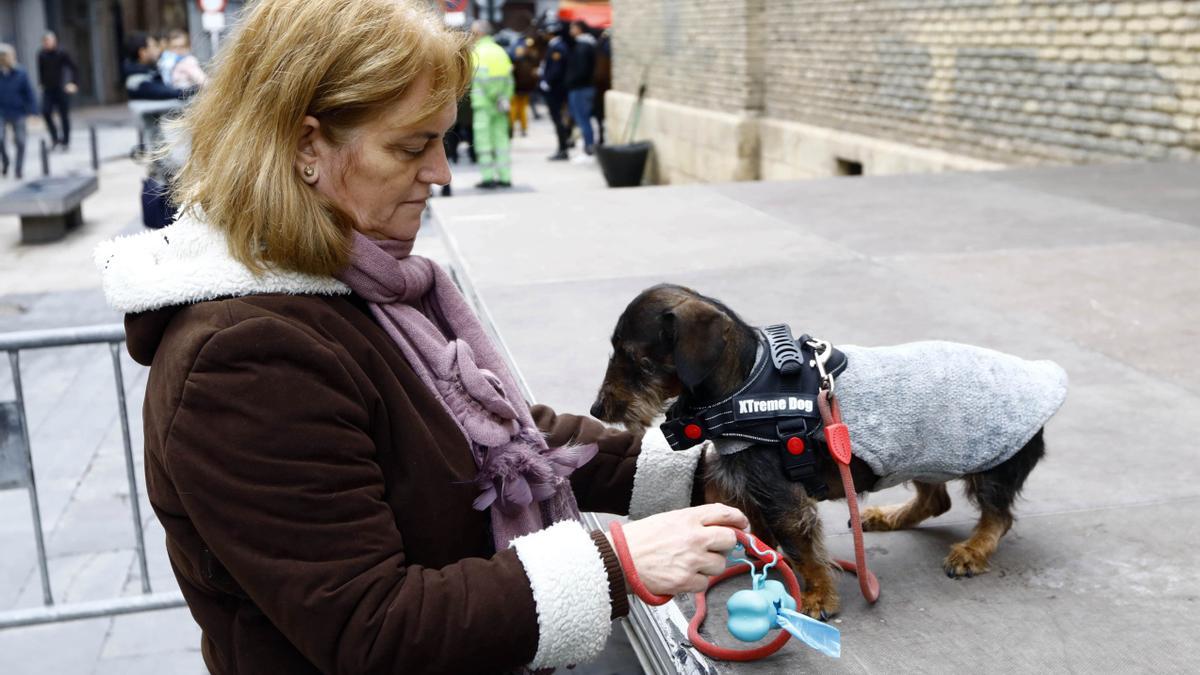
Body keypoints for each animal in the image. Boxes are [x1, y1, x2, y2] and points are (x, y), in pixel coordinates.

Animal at [590, 281, 1070, 619]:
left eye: (638, 361)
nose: (597, 409)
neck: (743, 386)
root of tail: (1045, 376)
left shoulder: (782, 496)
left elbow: (801, 548)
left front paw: (818, 595)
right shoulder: (747, 487)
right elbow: (765, 539)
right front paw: (770, 568)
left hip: (991, 461)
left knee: (998, 515)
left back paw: (972, 550)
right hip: (921, 455)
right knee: (936, 499)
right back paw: (888, 516)